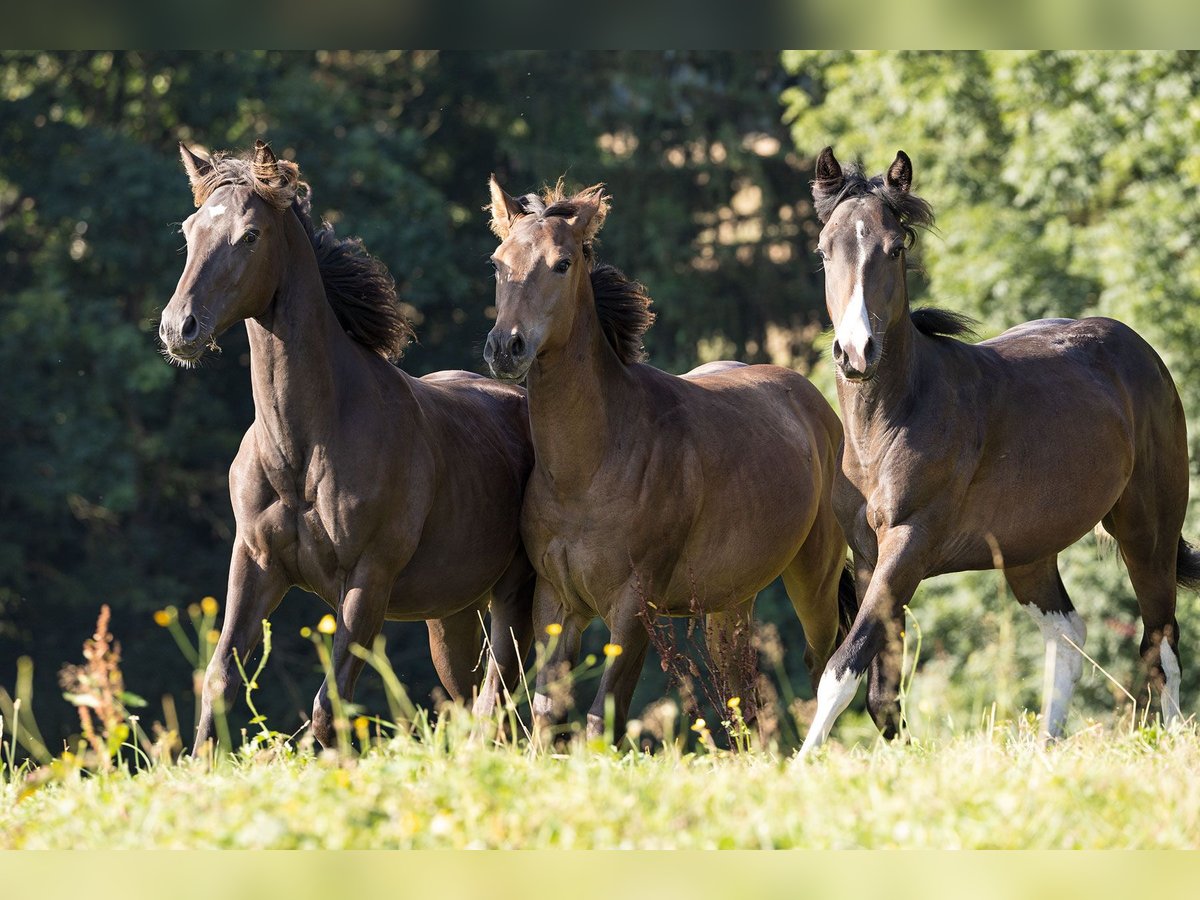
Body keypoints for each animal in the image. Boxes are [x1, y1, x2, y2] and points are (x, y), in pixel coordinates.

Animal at [159, 144, 535, 748]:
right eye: (191, 230)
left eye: (249, 235)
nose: (179, 329)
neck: (304, 448)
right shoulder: (256, 562)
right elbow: (219, 679)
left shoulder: (368, 580)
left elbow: (328, 706)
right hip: (450, 617)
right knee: (470, 698)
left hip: (512, 600)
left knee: (498, 700)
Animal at [480, 177, 854, 748]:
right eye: (499, 262)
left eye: (562, 263)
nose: (506, 348)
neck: (589, 469)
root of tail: (815, 406)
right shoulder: (555, 603)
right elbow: (548, 711)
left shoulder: (636, 608)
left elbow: (601, 716)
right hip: (730, 604)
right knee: (740, 698)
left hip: (815, 576)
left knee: (821, 665)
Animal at [796, 146, 1200, 753]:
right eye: (825, 251)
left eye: (896, 248)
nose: (856, 352)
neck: (891, 421)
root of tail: (1142, 351)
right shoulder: (870, 560)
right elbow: (881, 695)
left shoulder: (908, 546)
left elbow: (842, 672)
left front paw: (800, 763)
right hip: (1028, 552)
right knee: (1069, 633)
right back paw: (1048, 745)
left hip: (1147, 530)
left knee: (1161, 644)